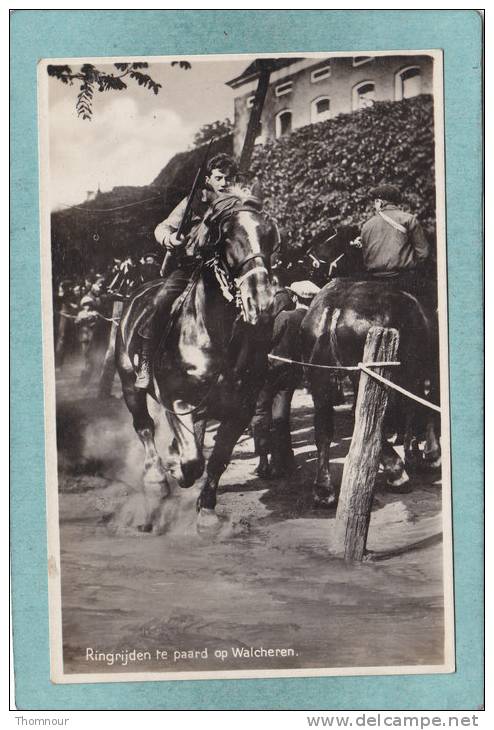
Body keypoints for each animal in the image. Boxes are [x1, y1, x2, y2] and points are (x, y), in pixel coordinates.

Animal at [116, 195, 278, 528]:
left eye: (269, 236)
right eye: (228, 237)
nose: (262, 302)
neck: (214, 333)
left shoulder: (239, 411)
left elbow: (217, 460)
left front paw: (207, 511)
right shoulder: (177, 402)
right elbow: (192, 462)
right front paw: (175, 470)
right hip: (129, 385)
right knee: (144, 426)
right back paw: (156, 478)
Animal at [300, 276, 442, 510]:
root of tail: (335, 305)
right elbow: (425, 403)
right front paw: (430, 455)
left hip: (320, 379)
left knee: (323, 428)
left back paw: (323, 490)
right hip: (370, 375)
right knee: (368, 418)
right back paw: (397, 473)